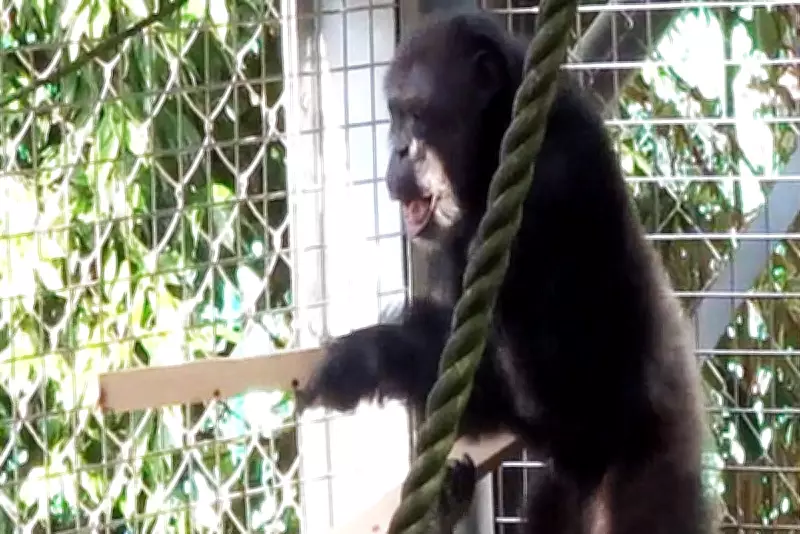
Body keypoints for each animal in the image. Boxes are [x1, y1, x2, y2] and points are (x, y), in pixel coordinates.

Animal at [299, 11, 712, 534]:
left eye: (416, 114)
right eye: (393, 114)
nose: (399, 149)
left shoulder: (549, 190)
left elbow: (564, 397)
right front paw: (365, 357)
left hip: (652, 482)